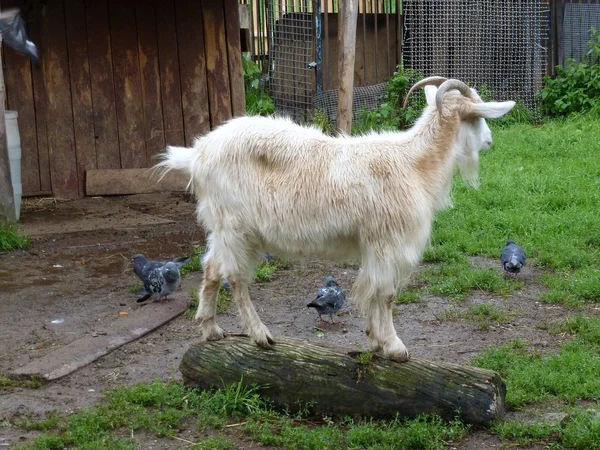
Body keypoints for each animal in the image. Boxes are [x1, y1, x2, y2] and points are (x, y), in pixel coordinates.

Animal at [156, 77, 516, 362]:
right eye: (477, 116)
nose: (490, 141)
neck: (414, 163)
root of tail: (198, 154)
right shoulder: (388, 241)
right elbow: (385, 294)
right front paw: (395, 347)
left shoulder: (373, 244)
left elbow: (371, 291)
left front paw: (375, 341)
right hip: (237, 226)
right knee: (236, 278)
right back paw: (260, 335)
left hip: (222, 225)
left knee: (211, 268)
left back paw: (211, 329)